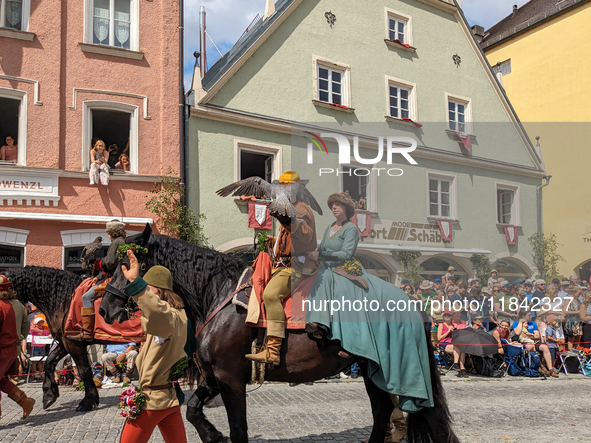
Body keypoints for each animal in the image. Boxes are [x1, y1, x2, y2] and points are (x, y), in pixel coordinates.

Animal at [8, 266, 110, 412]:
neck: (64, 300)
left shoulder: (74, 343)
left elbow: (84, 371)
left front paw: (88, 401)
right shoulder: (64, 342)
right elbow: (49, 362)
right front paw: (49, 395)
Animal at [102, 225, 460, 443]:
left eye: (126, 265)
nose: (105, 308)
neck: (217, 294)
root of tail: (411, 303)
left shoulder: (230, 378)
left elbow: (239, 428)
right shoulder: (213, 377)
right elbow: (192, 409)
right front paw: (212, 435)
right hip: (372, 368)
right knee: (384, 411)